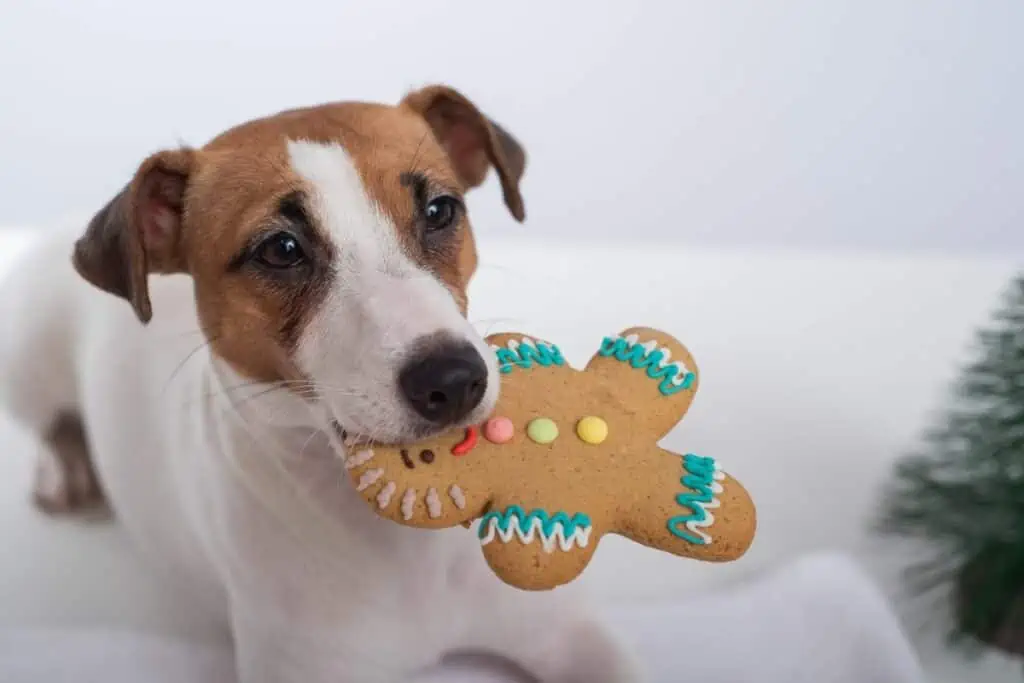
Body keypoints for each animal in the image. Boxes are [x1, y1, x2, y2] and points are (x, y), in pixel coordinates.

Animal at [0, 87, 638, 683]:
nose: (454, 380)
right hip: (26, 359)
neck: (405, 546)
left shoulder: (569, 634)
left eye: (440, 210)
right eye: (281, 249)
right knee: (52, 425)